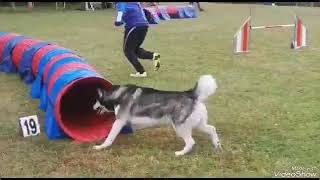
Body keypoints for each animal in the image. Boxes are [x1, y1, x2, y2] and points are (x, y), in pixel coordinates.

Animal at [93, 74, 222, 156]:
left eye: (96, 100)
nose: (92, 107)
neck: (116, 95)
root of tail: (191, 94)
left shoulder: (119, 121)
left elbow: (110, 137)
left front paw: (101, 147)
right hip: (198, 125)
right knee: (212, 129)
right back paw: (217, 145)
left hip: (180, 127)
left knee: (191, 142)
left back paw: (180, 153)